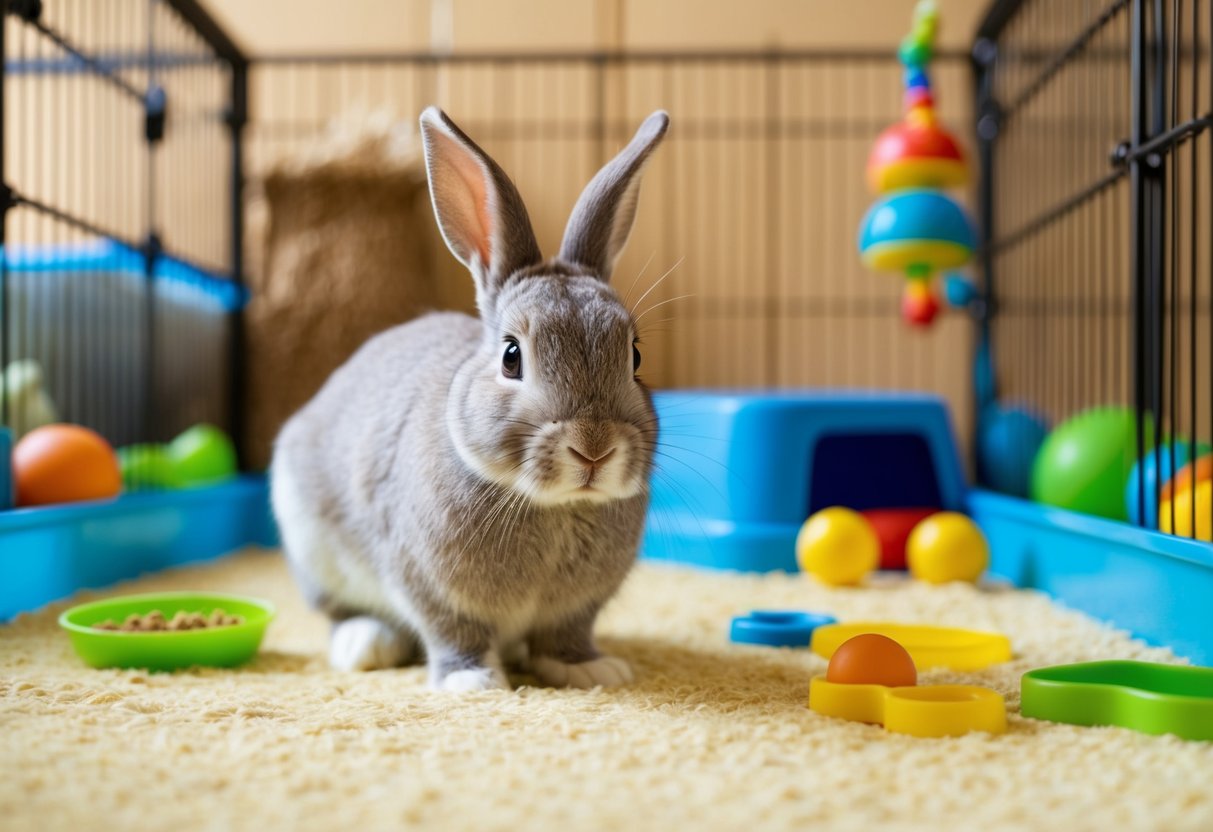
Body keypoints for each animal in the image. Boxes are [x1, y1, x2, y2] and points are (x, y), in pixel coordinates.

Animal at [271, 106, 670, 692]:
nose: (594, 448)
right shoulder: (429, 585)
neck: (552, 504)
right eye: (511, 357)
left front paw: (592, 670)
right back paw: (366, 644)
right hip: (312, 544)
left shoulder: (577, 610)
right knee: (340, 612)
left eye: (635, 355)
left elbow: (566, 635)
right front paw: (473, 682)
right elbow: (453, 633)